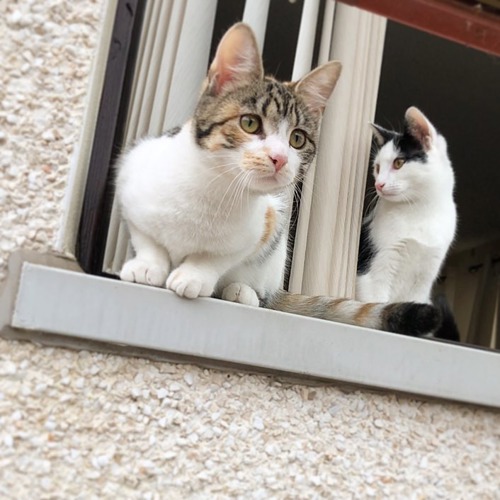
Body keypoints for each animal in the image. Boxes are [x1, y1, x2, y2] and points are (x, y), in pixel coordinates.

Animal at [117, 22, 442, 336]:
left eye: (297, 139)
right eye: (249, 123)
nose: (280, 158)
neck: (212, 190)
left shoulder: (262, 224)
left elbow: (220, 256)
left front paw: (193, 275)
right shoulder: (131, 174)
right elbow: (146, 237)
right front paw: (147, 265)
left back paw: (241, 291)